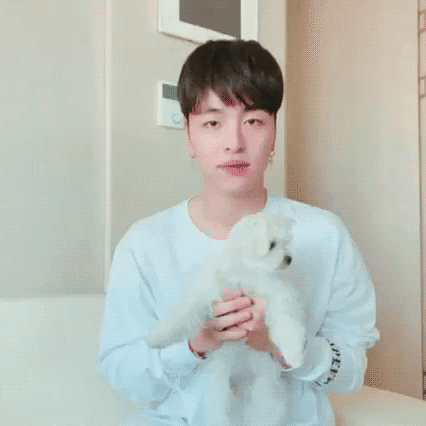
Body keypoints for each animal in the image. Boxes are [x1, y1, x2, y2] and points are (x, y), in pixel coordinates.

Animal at [146, 212, 306, 426]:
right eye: (272, 244)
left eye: (286, 242)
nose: (289, 258)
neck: (247, 269)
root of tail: (240, 378)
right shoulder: (209, 287)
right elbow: (182, 311)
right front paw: (159, 337)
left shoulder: (274, 294)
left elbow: (287, 322)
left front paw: (294, 354)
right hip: (218, 385)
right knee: (218, 409)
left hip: (264, 388)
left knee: (263, 409)